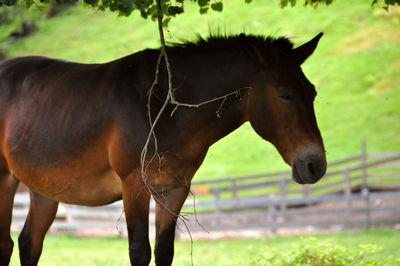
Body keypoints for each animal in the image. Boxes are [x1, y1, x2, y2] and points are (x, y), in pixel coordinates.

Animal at [0, 33, 324, 266]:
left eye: (312, 92)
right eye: (285, 94)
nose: (315, 164)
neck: (164, 108)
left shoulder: (174, 188)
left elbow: (164, 250)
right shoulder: (134, 186)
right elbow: (140, 251)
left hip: (43, 188)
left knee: (29, 243)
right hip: (5, 181)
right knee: (6, 244)